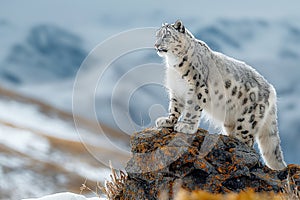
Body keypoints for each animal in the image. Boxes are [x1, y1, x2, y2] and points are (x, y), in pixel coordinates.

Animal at [155, 19, 286, 170]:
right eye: (156, 35)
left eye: (166, 35)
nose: (156, 45)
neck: (173, 64)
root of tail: (271, 90)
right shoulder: (176, 90)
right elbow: (175, 108)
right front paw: (168, 121)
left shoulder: (197, 88)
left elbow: (192, 109)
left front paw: (186, 126)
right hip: (230, 120)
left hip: (248, 121)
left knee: (247, 140)